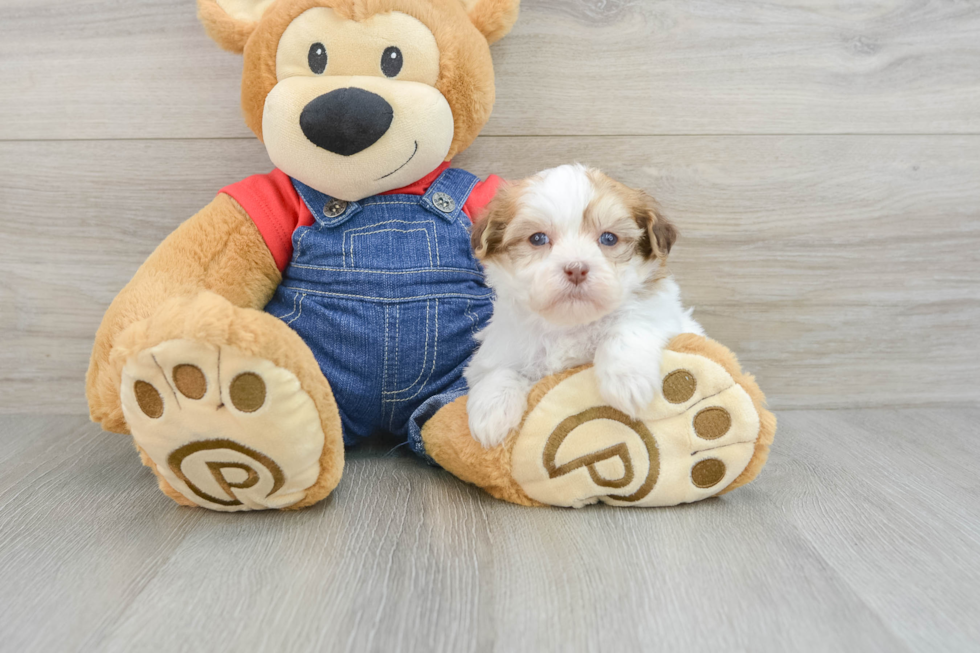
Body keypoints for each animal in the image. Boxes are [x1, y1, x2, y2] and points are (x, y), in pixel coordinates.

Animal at [464, 163, 700, 448]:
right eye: (538, 238)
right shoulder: (498, 347)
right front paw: (491, 412)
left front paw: (626, 380)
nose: (576, 268)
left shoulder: (665, 315)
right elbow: (498, 370)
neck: (570, 325)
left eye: (609, 238)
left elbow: (629, 325)